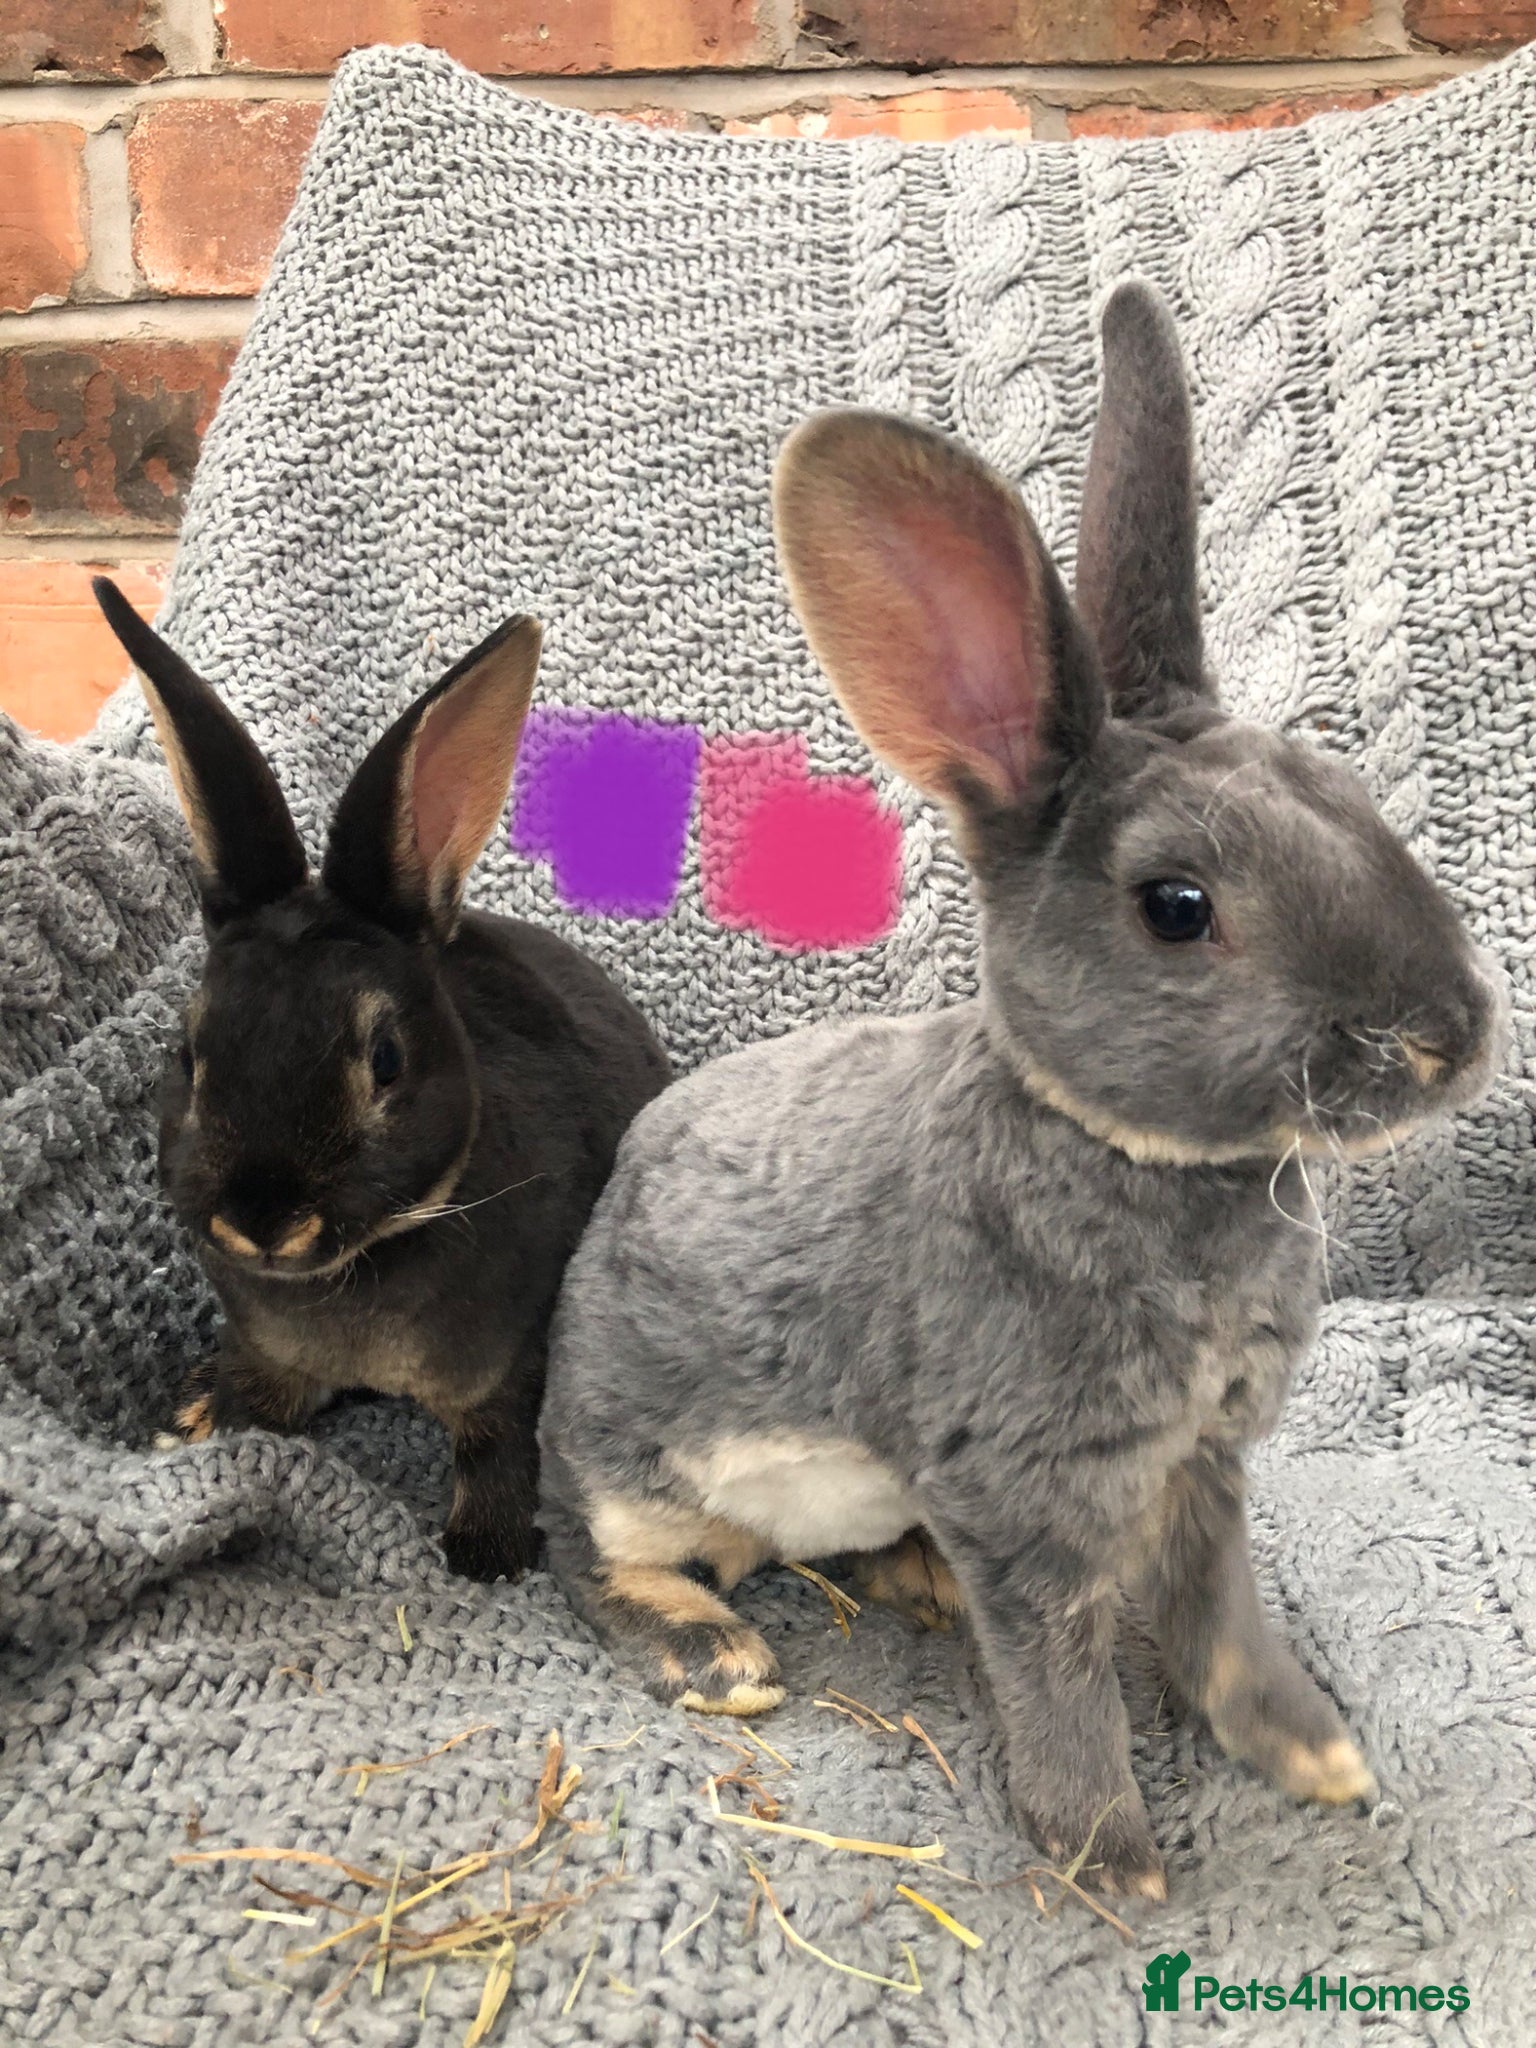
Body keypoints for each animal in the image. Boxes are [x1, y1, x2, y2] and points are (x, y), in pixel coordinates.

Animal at [94, 579, 670, 1583]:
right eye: (190, 1054)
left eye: (387, 1059)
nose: (263, 1221)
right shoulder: (265, 1350)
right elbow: (257, 1406)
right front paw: (216, 1431)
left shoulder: (515, 1365)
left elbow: (498, 1450)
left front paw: (485, 1558)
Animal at [536, 282, 1505, 1899]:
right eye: (1178, 907)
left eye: (1349, 797)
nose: (1454, 1038)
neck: (1139, 1159)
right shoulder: (1025, 1496)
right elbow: (1059, 1674)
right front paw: (1110, 1857)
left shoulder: (1202, 1466)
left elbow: (1221, 1621)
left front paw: (1312, 1754)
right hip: (638, 1464)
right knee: (590, 1552)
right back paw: (715, 1654)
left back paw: (914, 1576)